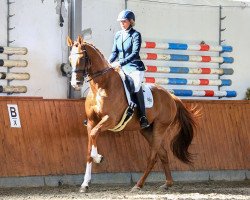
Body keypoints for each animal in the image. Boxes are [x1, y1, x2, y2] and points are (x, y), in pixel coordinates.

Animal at [66, 36, 199, 192]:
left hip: (160, 128)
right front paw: (85, 184)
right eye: (70, 59)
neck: (101, 86)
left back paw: (138, 185)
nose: (76, 83)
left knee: (152, 157)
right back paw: (167, 183)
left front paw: (98, 157)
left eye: (82, 58)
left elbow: (94, 135)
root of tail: (171, 97)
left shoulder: (110, 120)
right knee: (163, 154)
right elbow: (89, 149)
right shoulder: (92, 122)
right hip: (147, 130)